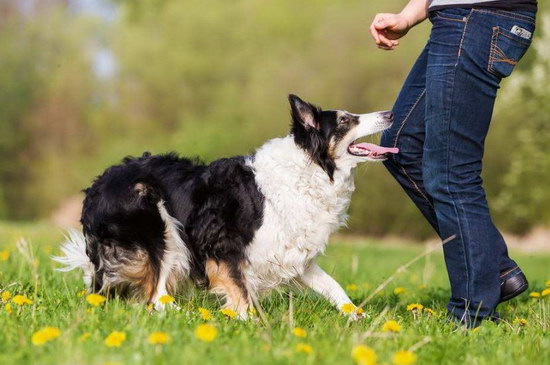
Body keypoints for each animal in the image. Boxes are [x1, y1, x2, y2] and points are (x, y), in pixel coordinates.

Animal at [54, 94, 398, 318]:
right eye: (345, 120)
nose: (391, 113)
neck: (308, 169)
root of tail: (95, 188)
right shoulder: (221, 244)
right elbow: (242, 294)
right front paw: (250, 324)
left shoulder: (293, 253)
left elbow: (335, 287)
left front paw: (360, 318)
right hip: (157, 219)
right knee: (156, 296)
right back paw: (185, 315)